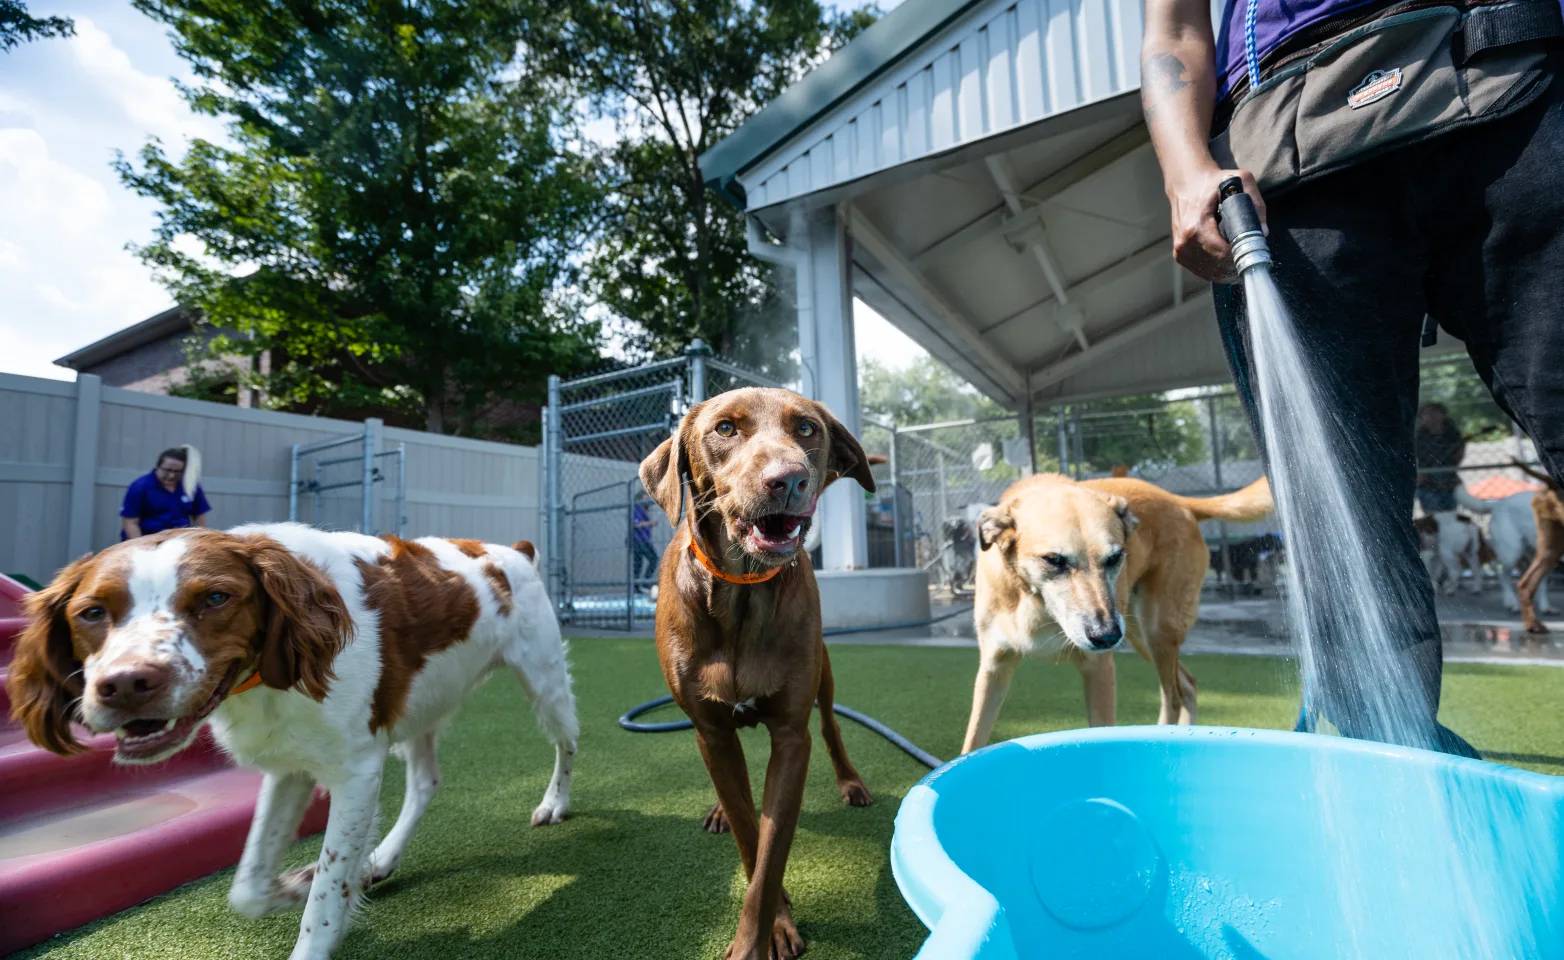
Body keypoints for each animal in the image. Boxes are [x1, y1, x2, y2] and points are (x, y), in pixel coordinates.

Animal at [638, 387, 882, 960]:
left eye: (807, 429)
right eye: (725, 429)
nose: (788, 480)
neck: (741, 595)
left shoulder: (792, 737)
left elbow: (771, 854)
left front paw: (761, 935)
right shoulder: (711, 731)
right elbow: (751, 835)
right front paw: (774, 925)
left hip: (824, 676)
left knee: (832, 727)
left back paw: (851, 782)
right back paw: (718, 811)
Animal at [957, 475, 1276, 759]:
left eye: (1115, 557)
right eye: (1054, 560)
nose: (1106, 636)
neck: (1036, 604)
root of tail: (1180, 502)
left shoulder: (1098, 669)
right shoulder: (994, 668)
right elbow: (972, 740)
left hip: (1156, 629)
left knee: (1173, 696)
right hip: (1139, 635)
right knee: (1187, 684)